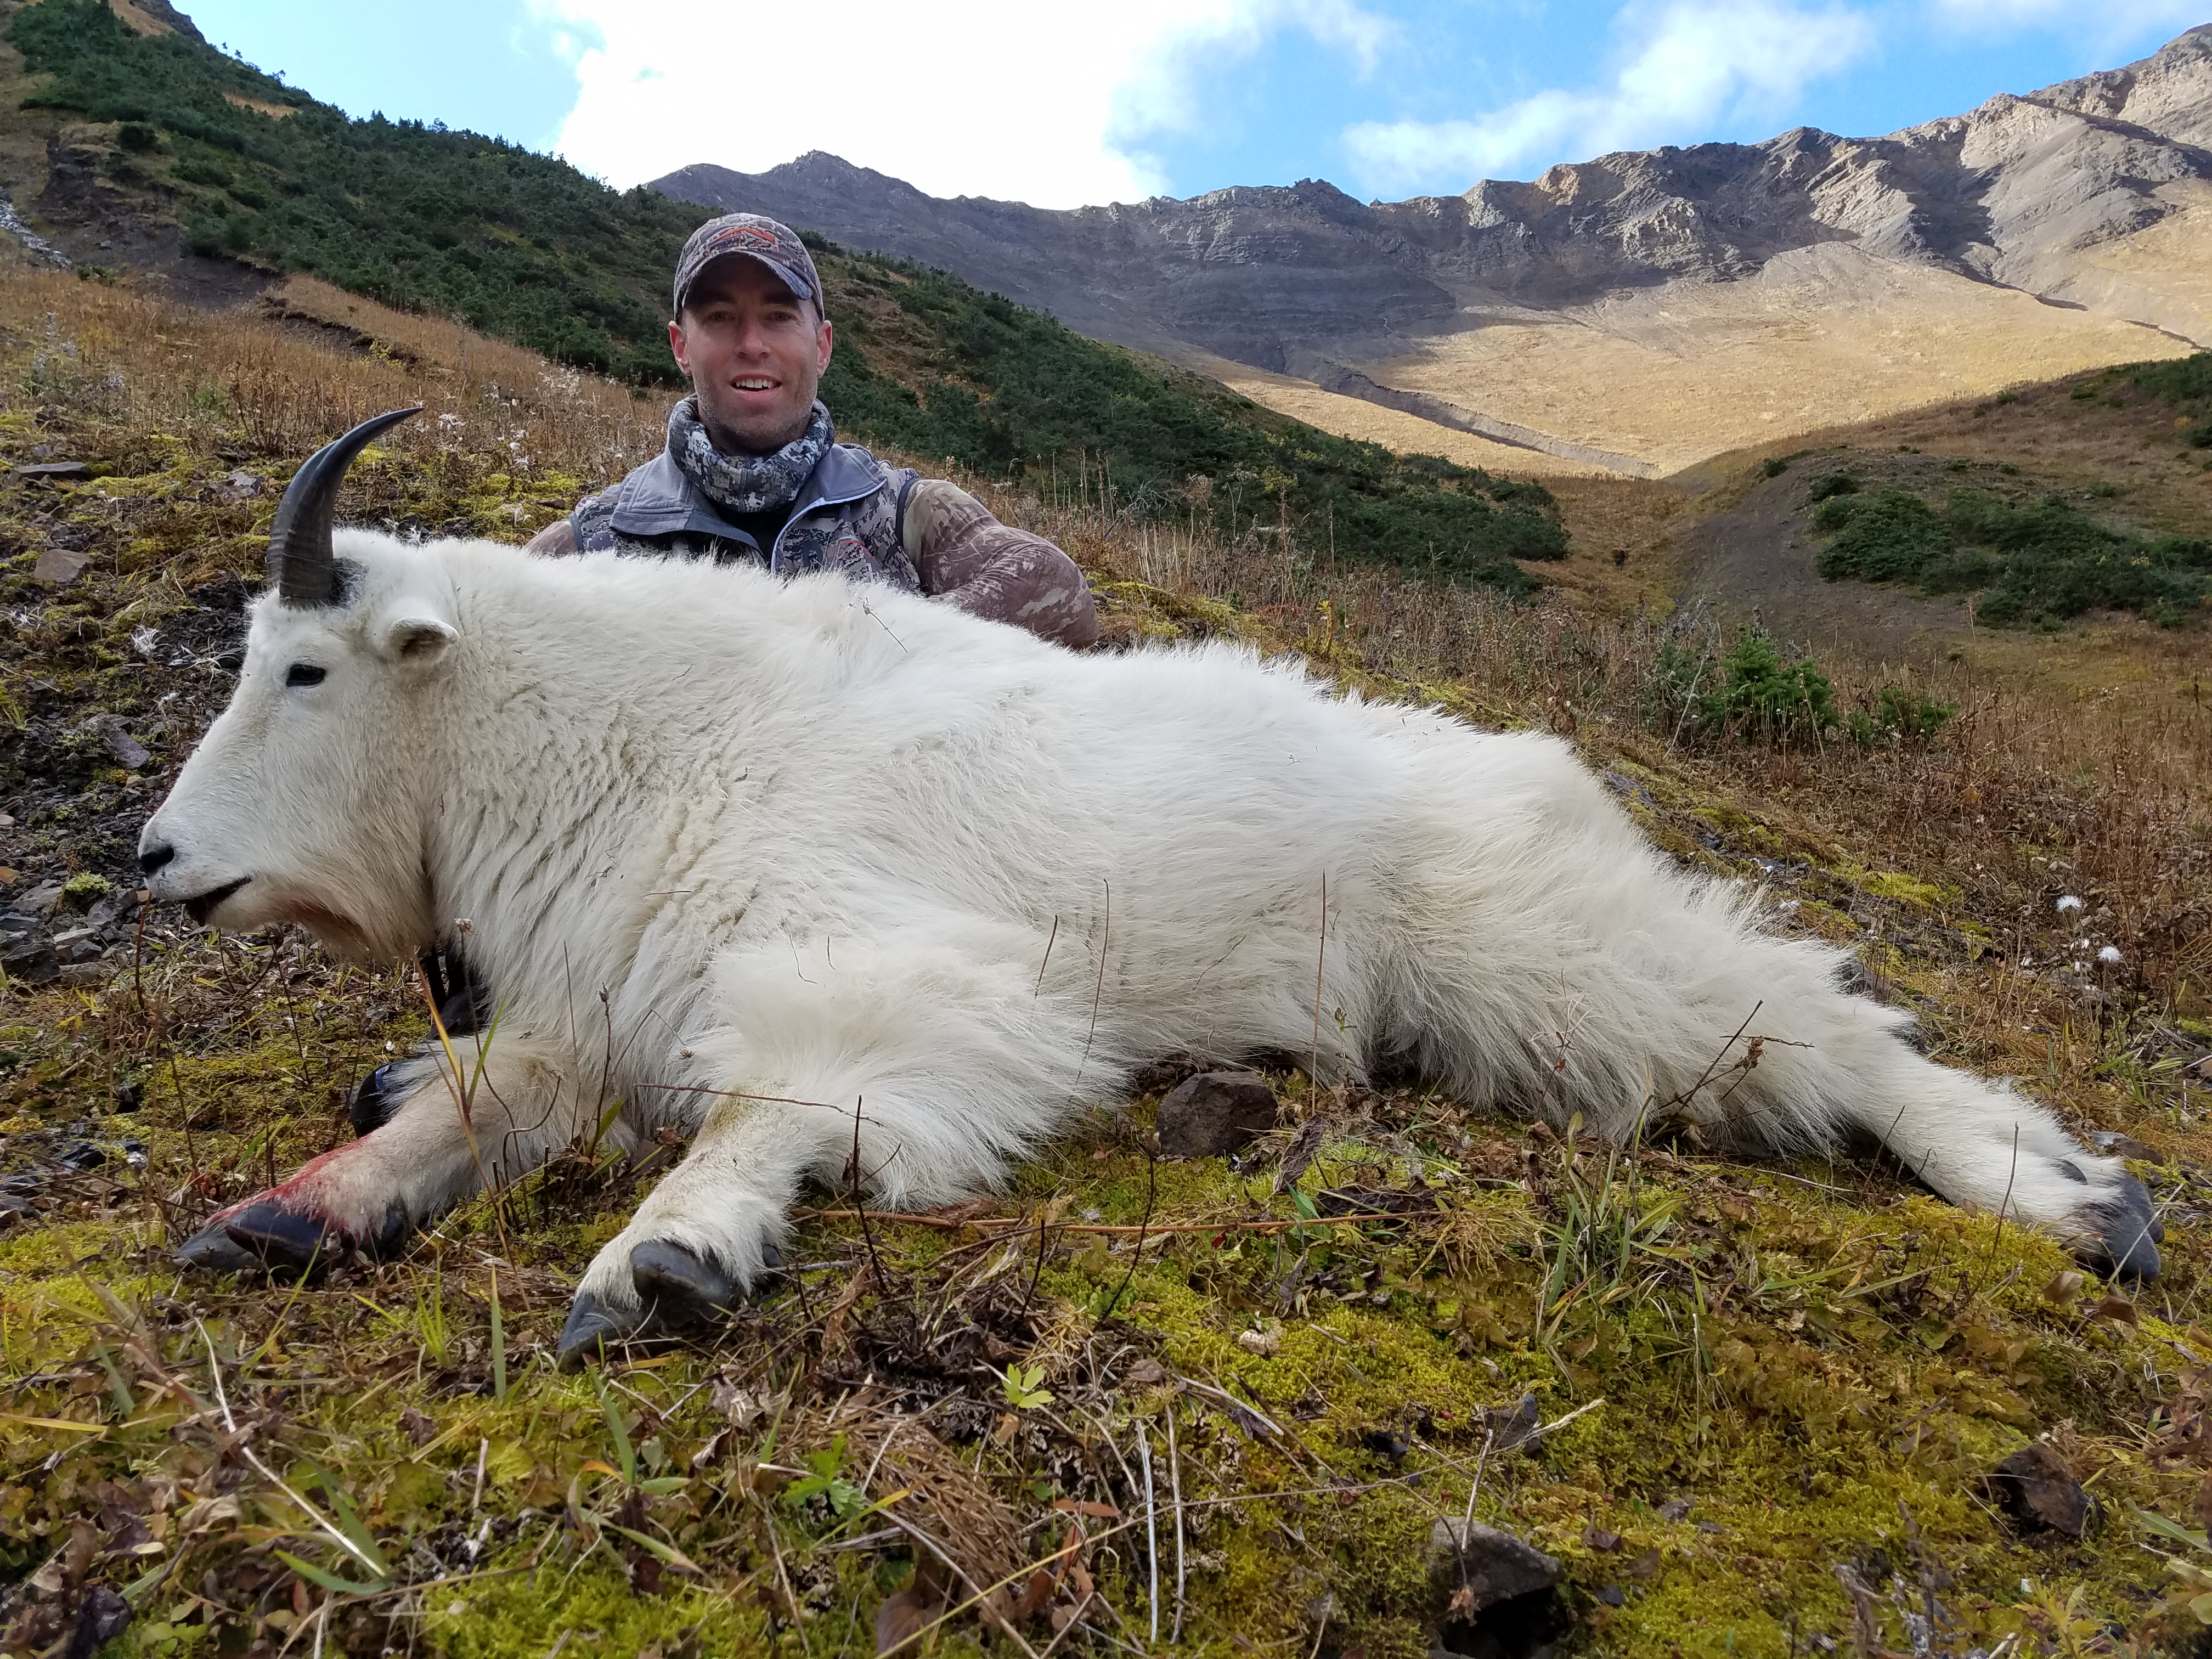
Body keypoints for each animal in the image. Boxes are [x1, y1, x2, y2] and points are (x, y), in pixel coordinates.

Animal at [151, 413, 2159, 1362]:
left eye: (305, 668)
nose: (162, 860)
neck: (623, 736)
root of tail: (1549, 771)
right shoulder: (578, 1015)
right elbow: (460, 1110)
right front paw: (283, 1214)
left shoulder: (901, 974)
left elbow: (772, 1101)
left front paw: (661, 1260)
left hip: (1552, 965)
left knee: (1823, 1024)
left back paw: (2070, 1199)